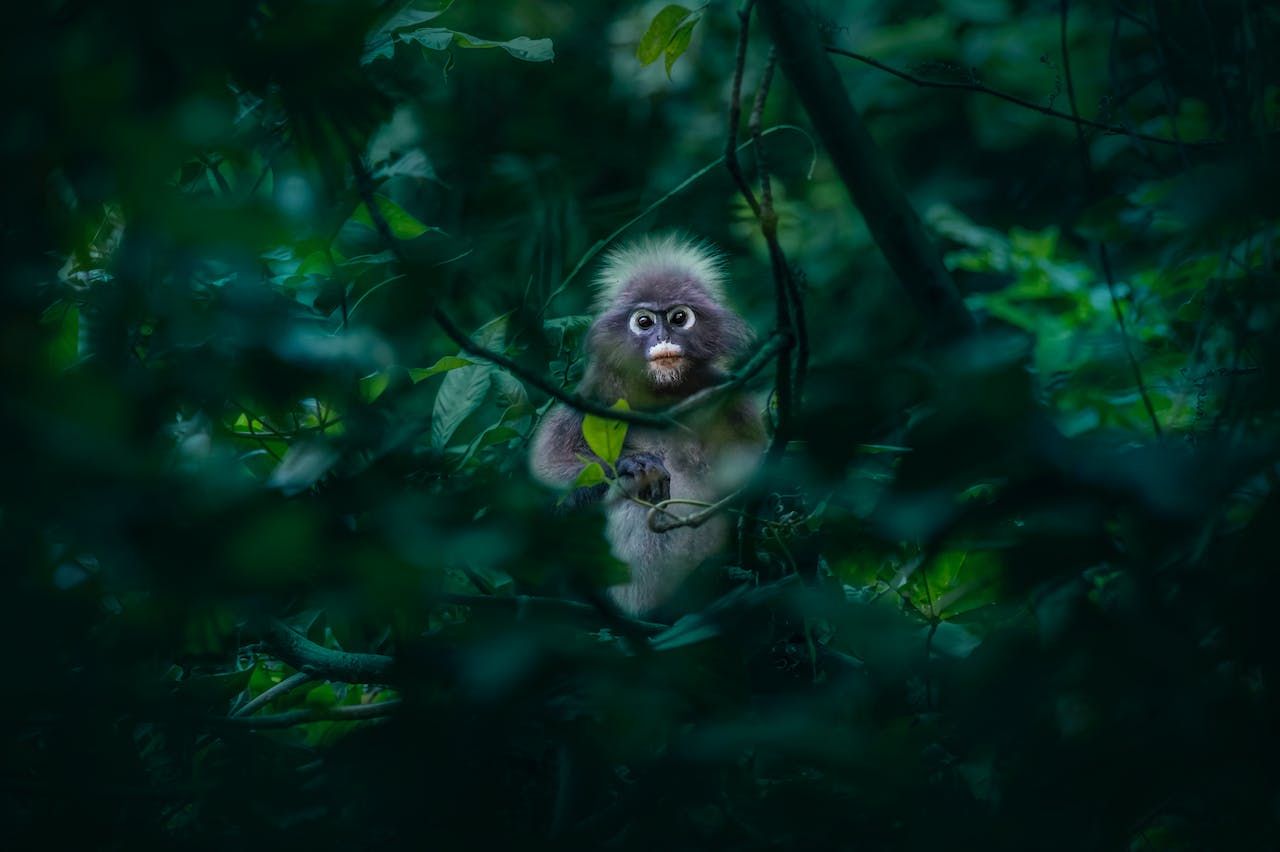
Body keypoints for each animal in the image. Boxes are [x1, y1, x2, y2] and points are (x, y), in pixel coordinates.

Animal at [530, 235, 766, 616]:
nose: (661, 337)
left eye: (679, 317)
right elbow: (544, 484)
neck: (664, 398)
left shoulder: (732, 397)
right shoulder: (592, 396)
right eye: (643, 321)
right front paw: (633, 462)